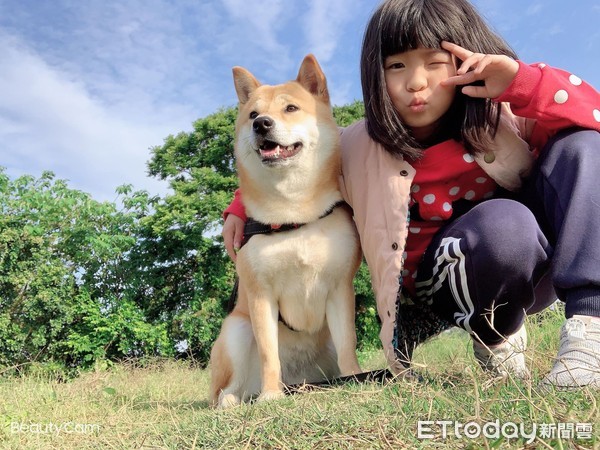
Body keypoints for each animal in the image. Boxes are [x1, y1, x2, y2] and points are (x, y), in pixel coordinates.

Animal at [210, 54, 360, 406]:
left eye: (290, 108)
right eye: (253, 114)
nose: (261, 124)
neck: (292, 218)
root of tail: (300, 381)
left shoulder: (339, 289)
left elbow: (348, 345)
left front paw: (355, 380)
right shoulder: (261, 297)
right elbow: (270, 355)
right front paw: (270, 395)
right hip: (236, 331)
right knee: (225, 389)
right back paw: (234, 400)